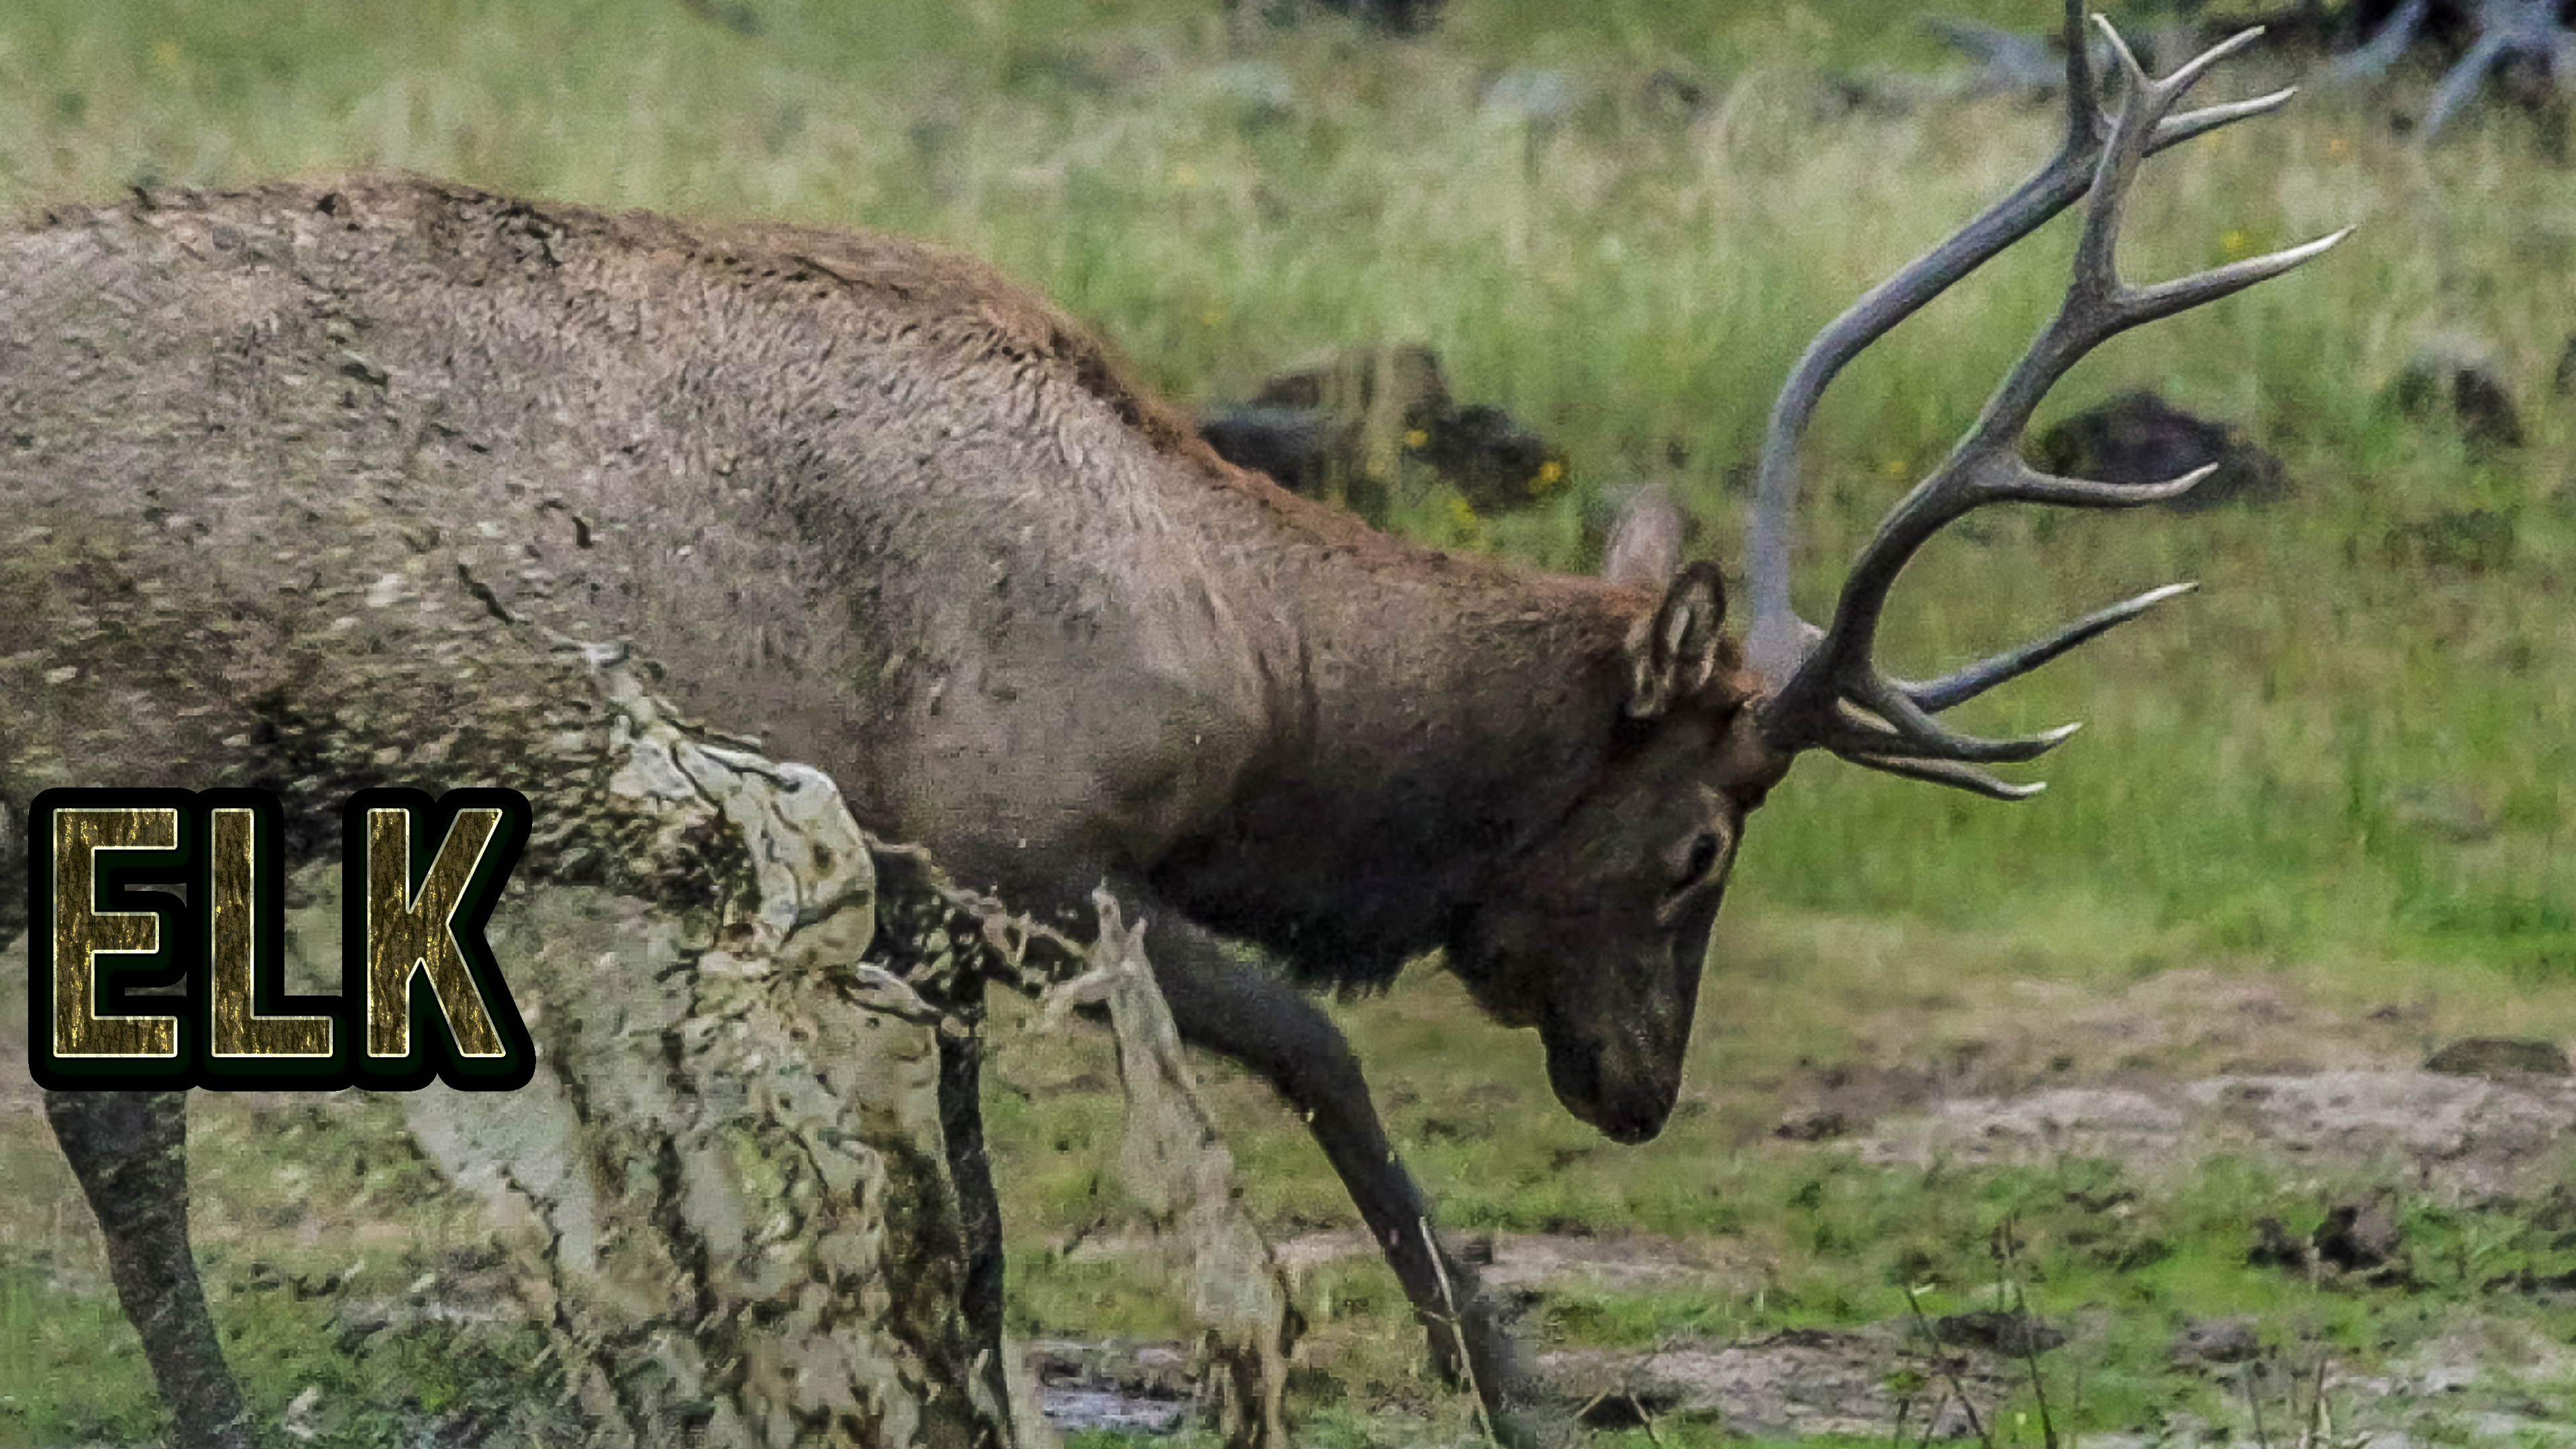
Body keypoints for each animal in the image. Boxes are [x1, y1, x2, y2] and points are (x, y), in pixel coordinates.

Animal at [3, 6, 2336, 1444]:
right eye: (1697, 847)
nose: (1639, 1092)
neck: (1250, 669)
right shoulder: (1017, 854)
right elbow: (1308, 1052)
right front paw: (1509, 1381)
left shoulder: (923, 907)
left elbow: (970, 1216)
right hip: (119, 725)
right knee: (124, 1129)